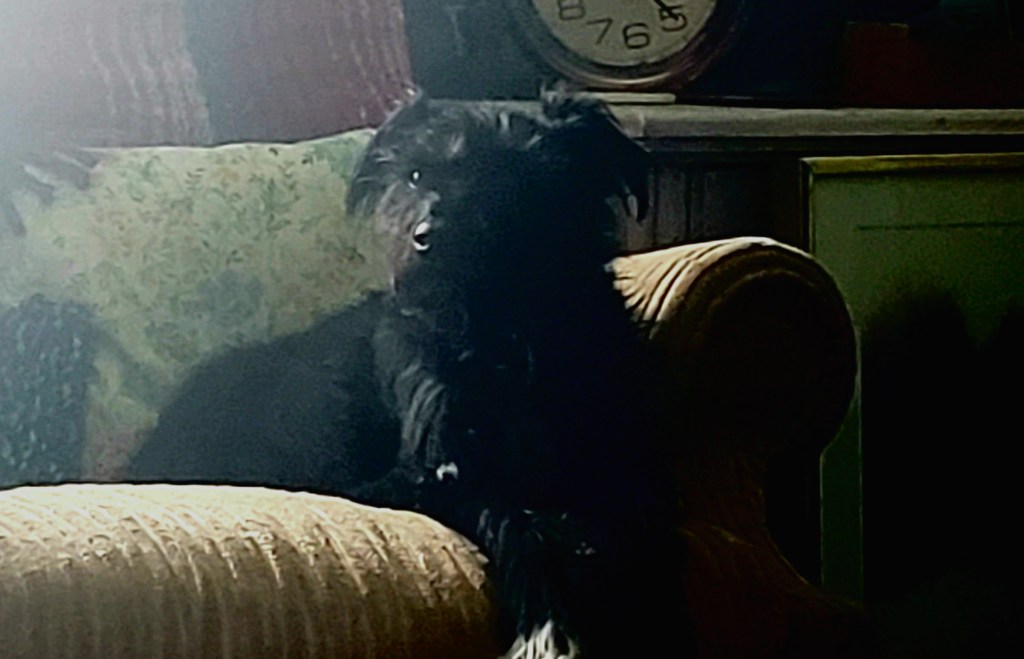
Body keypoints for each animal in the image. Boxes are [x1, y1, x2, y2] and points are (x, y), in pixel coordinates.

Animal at [129, 90, 685, 658]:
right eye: (416, 175)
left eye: (509, 171)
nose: (428, 238)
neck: (498, 337)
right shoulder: (430, 476)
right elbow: (521, 524)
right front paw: (549, 625)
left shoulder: (618, 472)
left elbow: (632, 535)